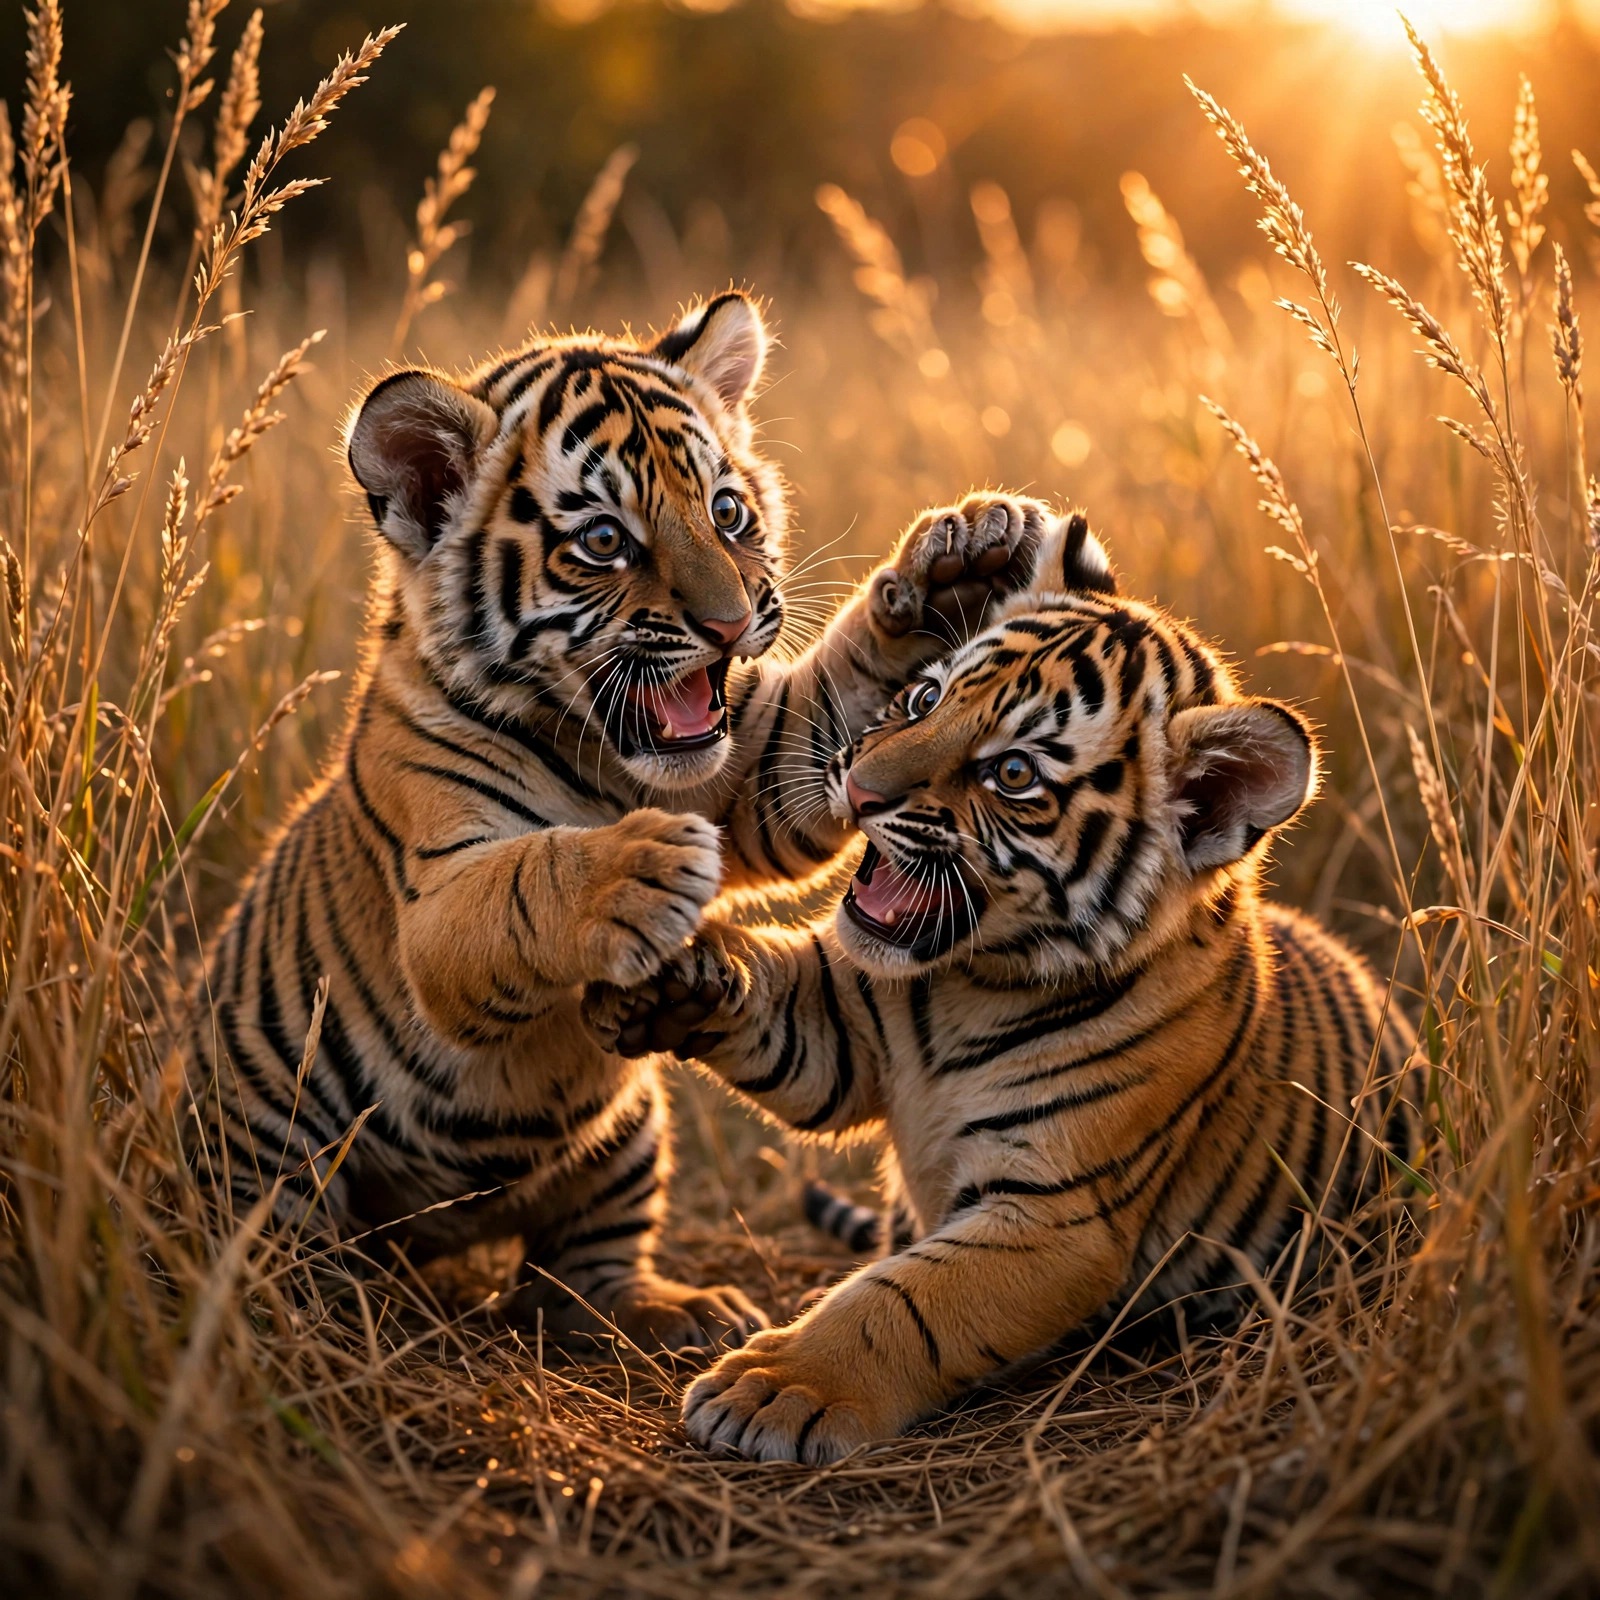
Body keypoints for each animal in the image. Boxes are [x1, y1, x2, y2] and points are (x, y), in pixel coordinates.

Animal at [187, 289, 1049, 1355]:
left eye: (727, 512)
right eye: (604, 541)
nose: (732, 623)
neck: (596, 753)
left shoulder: (756, 774)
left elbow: (826, 709)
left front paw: (961, 560)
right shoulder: (437, 899)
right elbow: (524, 876)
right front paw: (642, 868)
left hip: (629, 1129)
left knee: (575, 1282)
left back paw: (685, 1311)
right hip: (270, 1149)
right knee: (281, 1246)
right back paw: (314, 1310)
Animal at [584, 503, 1416, 1453]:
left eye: (1012, 774)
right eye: (923, 697)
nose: (857, 789)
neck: (967, 985)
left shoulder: (1055, 1215)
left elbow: (899, 1303)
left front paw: (772, 1386)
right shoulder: (839, 1033)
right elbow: (768, 996)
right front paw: (666, 966)